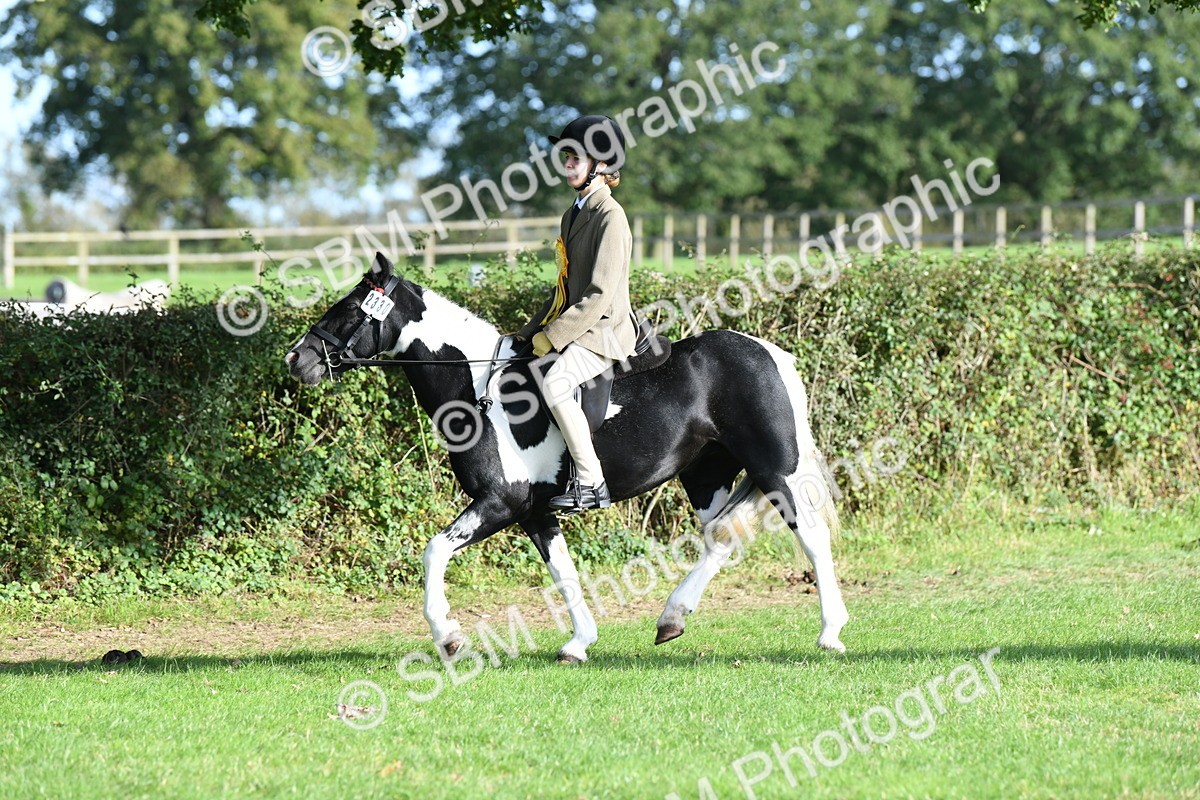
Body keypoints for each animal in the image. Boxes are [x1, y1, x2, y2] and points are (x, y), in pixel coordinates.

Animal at [284, 252, 848, 663]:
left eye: (349, 308)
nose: (297, 359)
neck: (475, 383)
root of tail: (770, 353)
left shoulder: (500, 503)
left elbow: (434, 551)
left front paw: (447, 636)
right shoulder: (535, 512)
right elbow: (564, 573)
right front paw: (579, 643)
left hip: (776, 470)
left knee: (812, 539)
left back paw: (830, 633)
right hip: (706, 474)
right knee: (720, 540)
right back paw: (672, 617)